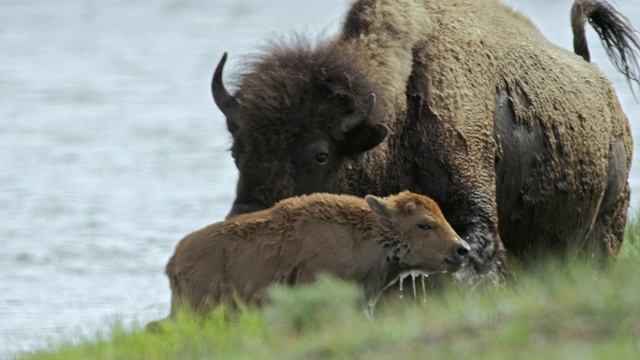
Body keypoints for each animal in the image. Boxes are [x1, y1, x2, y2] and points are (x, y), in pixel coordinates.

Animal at [211, 0, 640, 284]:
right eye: (236, 150)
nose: (245, 220)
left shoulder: (474, 212)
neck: (399, 118)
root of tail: (595, 76)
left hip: (606, 224)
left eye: (320, 154)